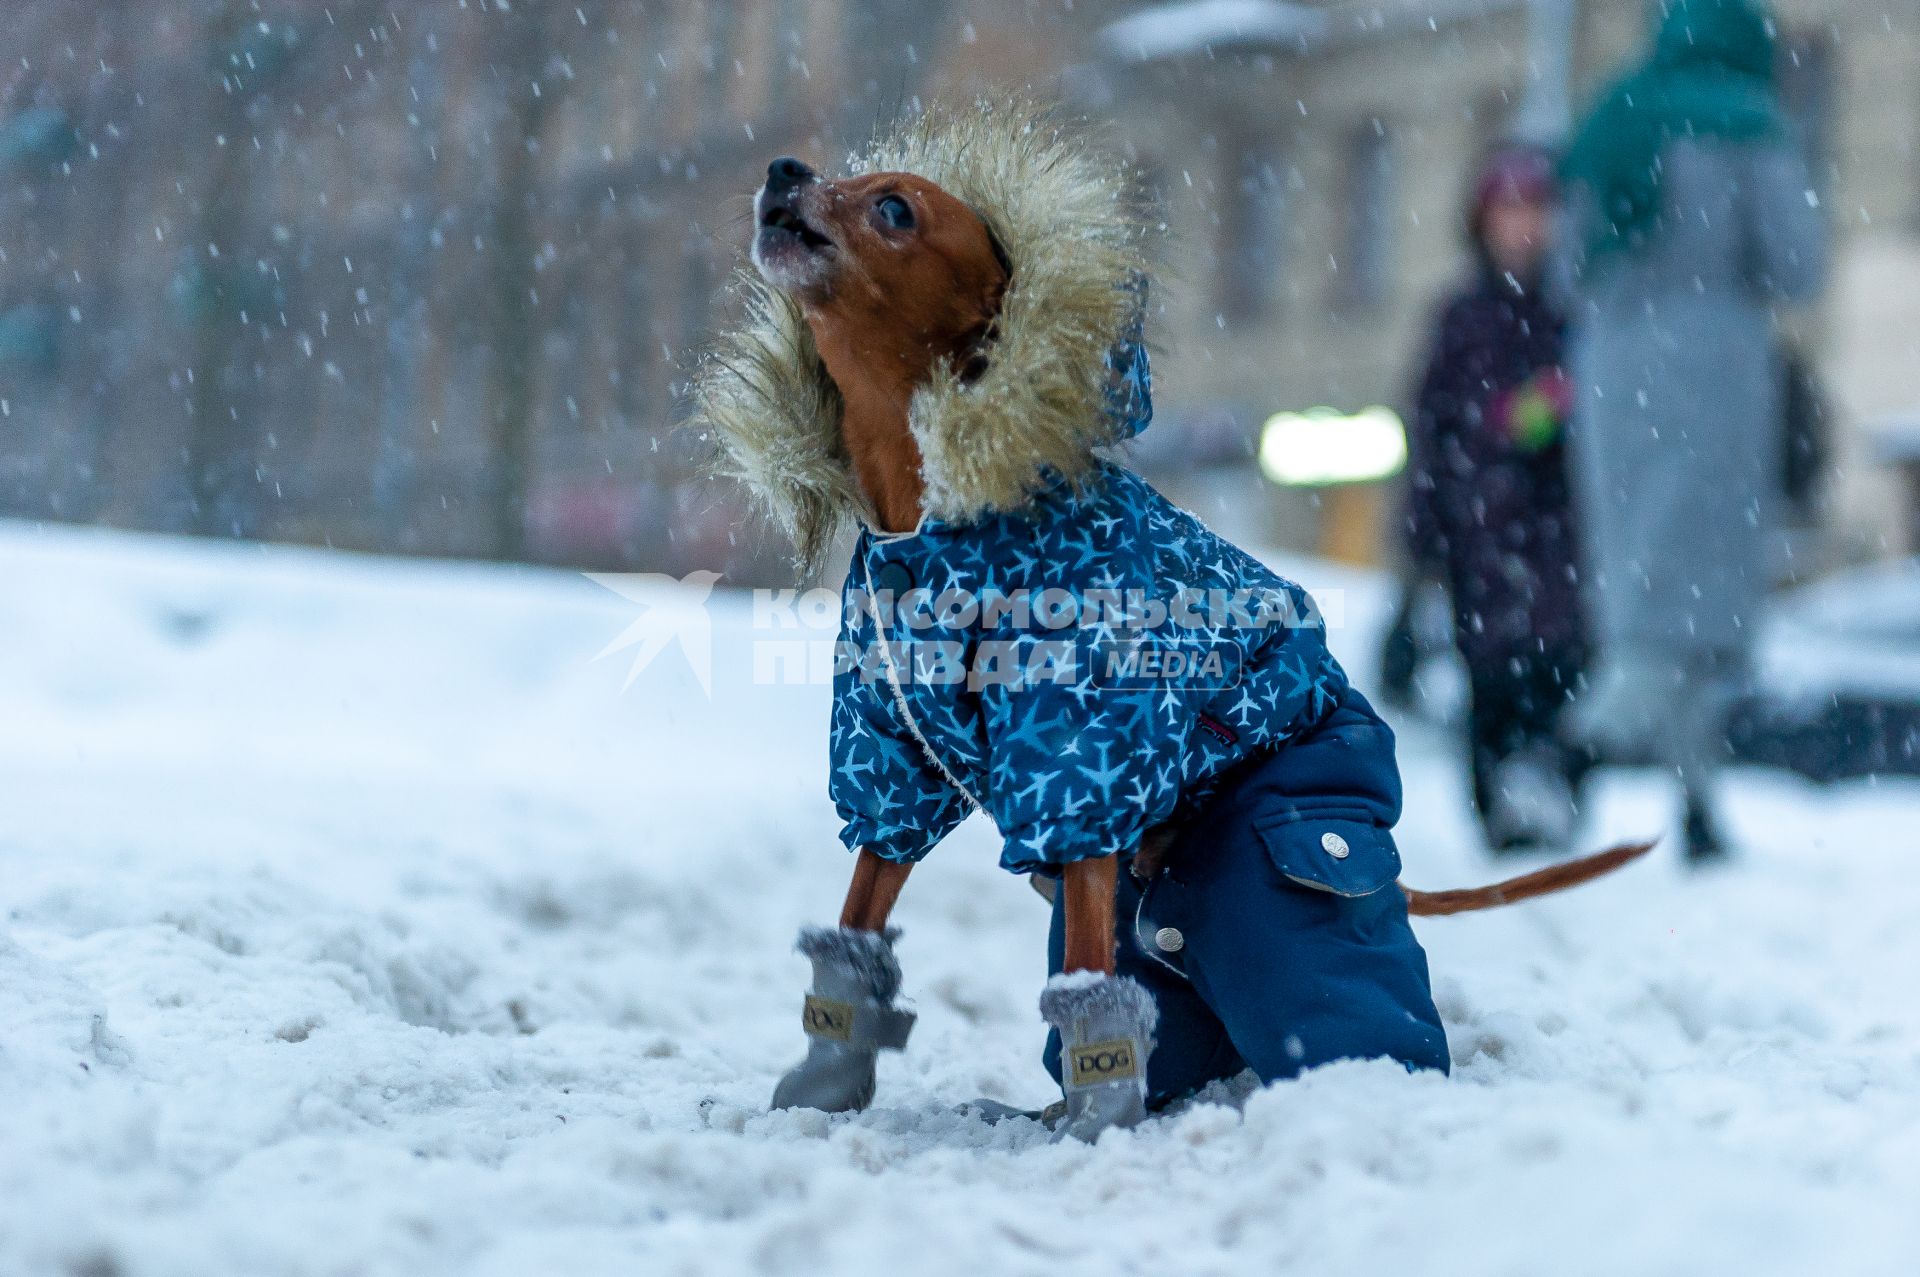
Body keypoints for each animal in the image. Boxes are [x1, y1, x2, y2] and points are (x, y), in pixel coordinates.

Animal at [698, 104, 1643, 1136]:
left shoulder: (1082, 760)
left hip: (1287, 853)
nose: (785, 168)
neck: (936, 513)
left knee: (1329, 1007)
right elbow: (863, 903)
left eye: (896, 208)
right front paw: (827, 1077)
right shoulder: (889, 748)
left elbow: (1085, 973)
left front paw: (1096, 1117)